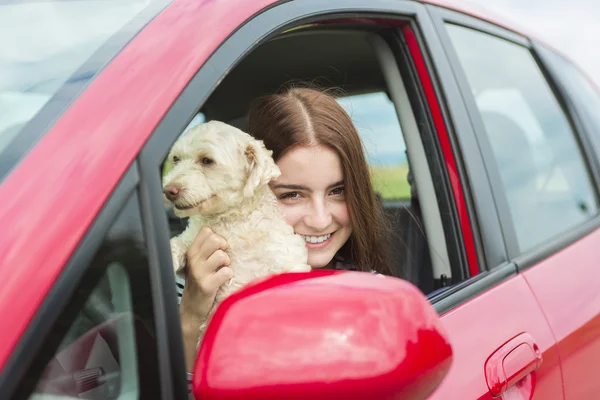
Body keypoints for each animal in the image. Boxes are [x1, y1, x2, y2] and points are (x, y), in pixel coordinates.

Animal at [162, 121, 310, 340]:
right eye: (176, 159)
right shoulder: (194, 238)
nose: (169, 190)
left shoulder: (285, 260)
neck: (232, 221)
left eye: (206, 160)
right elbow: (177, 244)